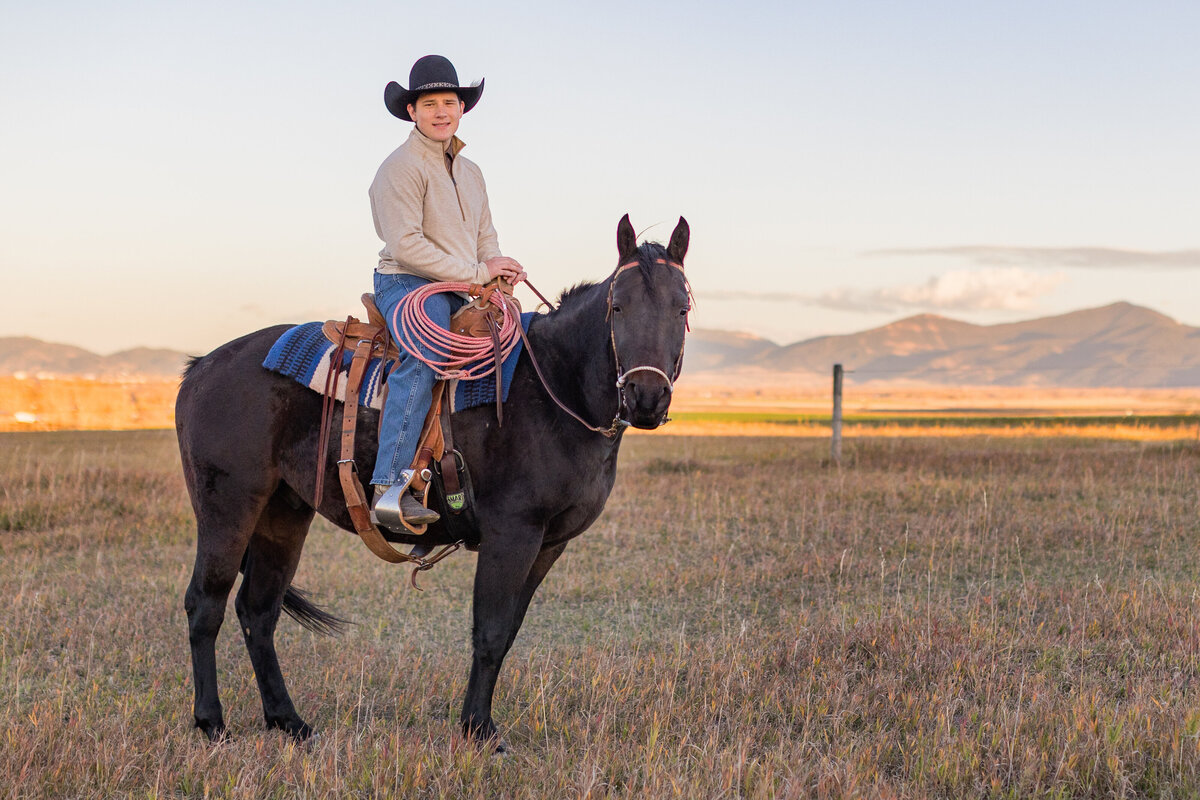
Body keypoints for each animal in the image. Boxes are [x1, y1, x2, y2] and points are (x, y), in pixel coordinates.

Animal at [174, 212, 691, 743]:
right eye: (618, 306)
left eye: (682, 308)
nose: (646, 397)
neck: (556, 389)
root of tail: (201, 367)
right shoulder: (513, 533)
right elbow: (490, 632)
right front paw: (478, 728)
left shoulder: (550, 543)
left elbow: (508, 631)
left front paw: (475, 721)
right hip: (228, 507)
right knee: (206, 604)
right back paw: (211, 721)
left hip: (284, 514)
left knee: (258, 610)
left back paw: (288, 721)